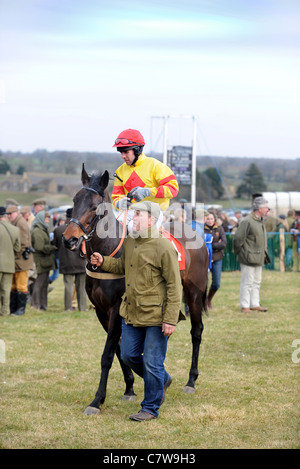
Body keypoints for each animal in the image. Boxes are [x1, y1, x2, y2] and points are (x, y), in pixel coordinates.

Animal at [62, 165, 209, 414]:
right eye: (74, 201)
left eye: (94, 207)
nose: (69, 239)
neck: (109, 250)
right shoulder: (101, 311)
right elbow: (120, 350)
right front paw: (130, 388)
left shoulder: (115, 308)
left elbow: (107, 355)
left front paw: (96, 400)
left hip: (194, 294)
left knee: (196, 331)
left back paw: (191, 381)